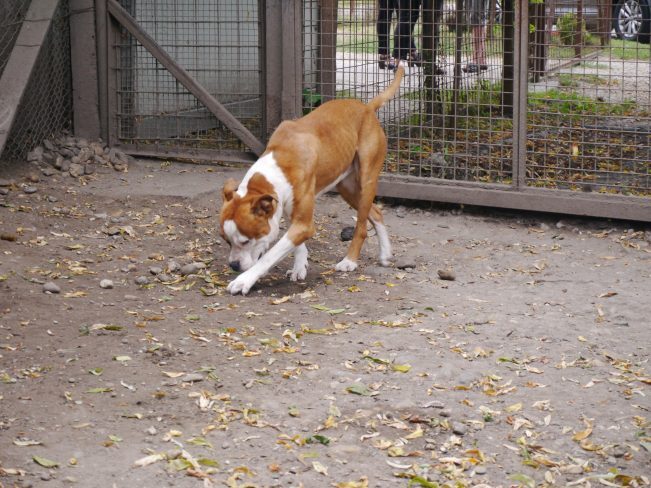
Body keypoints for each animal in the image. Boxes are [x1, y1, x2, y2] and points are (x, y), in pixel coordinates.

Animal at [219, 66, 404, 295]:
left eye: (245, 241)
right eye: (226, 240)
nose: (233, 265)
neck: (280, 163)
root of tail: (367, 108)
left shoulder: (304, 224)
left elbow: (271, 255)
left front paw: (244, 280)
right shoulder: (292, 213)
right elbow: (295, 244)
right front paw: (300, 266)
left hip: (367, 180)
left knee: (361, 226)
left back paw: (349, 261)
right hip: (348, 189)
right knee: (376, 213)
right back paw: (385, 253)